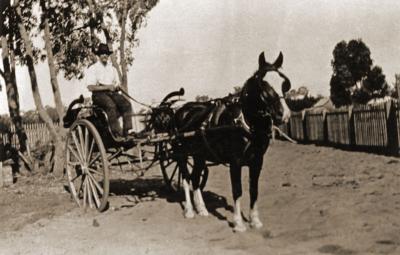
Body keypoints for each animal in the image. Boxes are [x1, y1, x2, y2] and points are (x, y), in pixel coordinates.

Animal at [162, 51, 290, 231]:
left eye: (284, 83)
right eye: (263, 85)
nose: (284, 114)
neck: (245, 122)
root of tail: (179, 111)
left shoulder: (257, 161)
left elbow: (254, 190)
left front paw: (255, 221)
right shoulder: (235, 162)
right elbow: (237, 190)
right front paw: (238, 224)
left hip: (199, 156)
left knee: (195, 178)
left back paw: (201, 208)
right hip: (181, 154)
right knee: (186, 178)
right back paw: (189, 210)